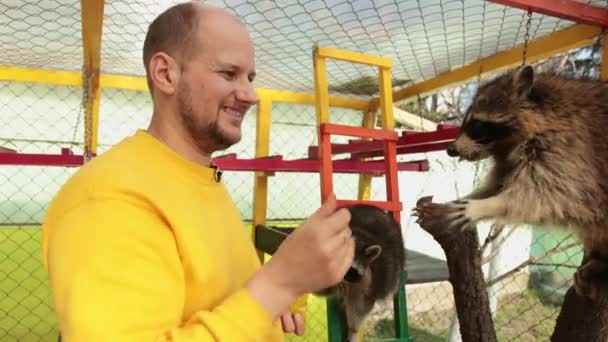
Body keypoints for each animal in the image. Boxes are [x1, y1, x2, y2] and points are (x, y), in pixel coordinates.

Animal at [416, 64, 608, 300]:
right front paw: (462, 200)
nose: (451, 150)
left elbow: (552, 196)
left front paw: (482, 206)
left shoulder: (571, 150)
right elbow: (497, 186)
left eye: (477, 125)